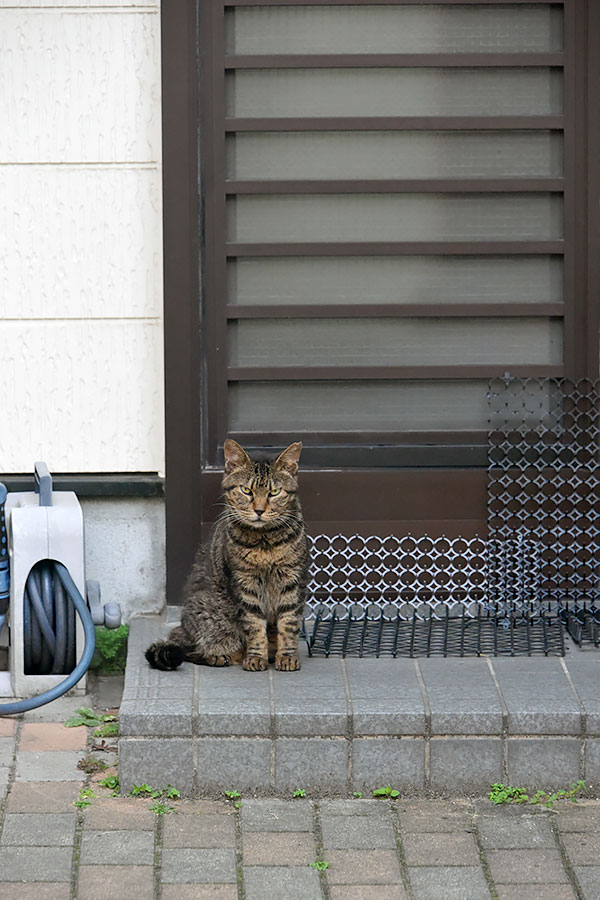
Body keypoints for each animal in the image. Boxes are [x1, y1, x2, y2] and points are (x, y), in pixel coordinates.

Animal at [145, 440, 310, 672]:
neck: (265, 543)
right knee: (190, 648)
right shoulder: (245, 583)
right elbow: (254, 625)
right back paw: (222, 656)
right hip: (209, 619)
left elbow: (288, 623)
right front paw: (255, 657)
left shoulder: (293, 580)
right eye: (246, 490)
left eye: (275, 492)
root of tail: (183, 628)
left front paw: (286, 656)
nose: (259, 510)